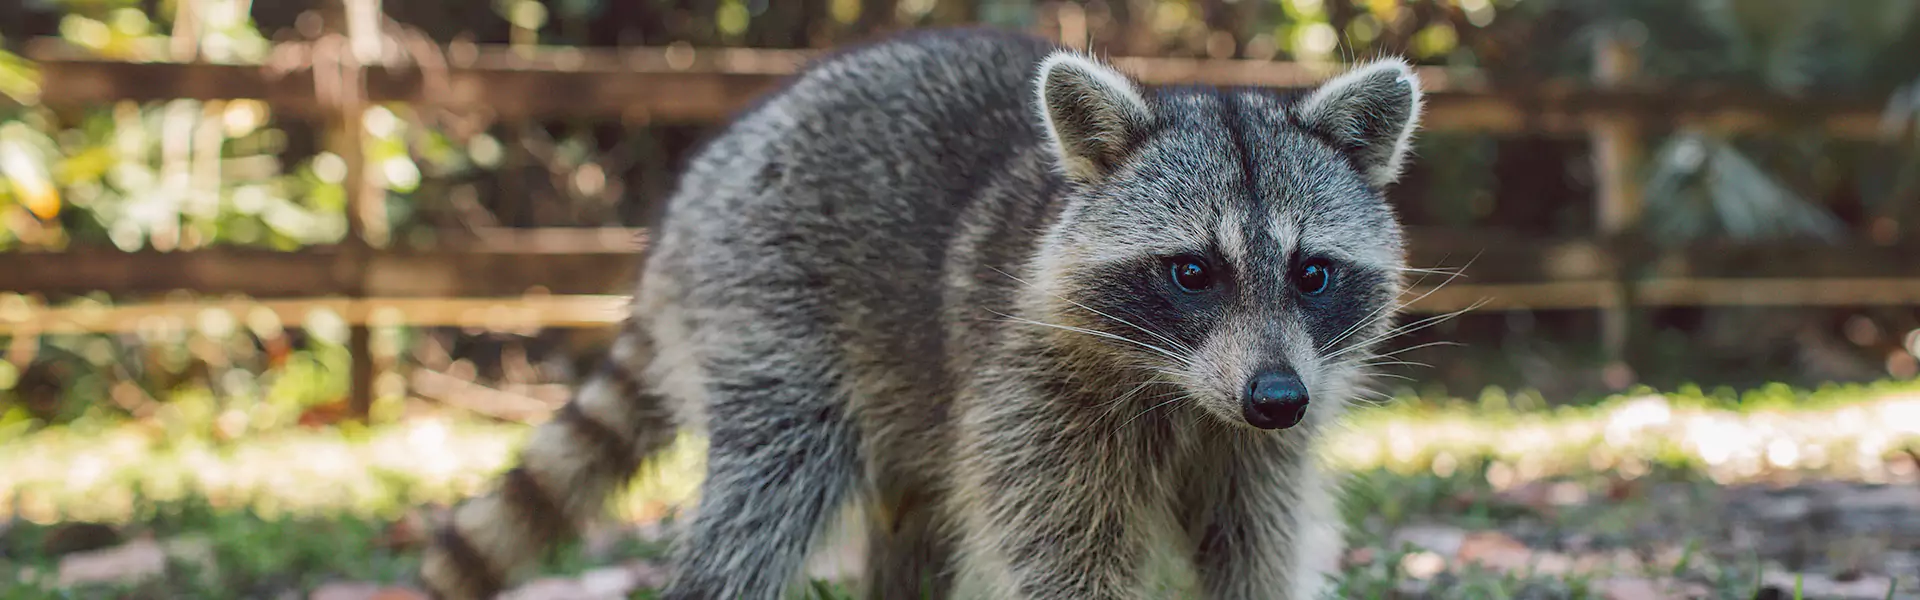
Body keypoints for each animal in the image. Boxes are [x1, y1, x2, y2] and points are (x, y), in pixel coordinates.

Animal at [420, 26, 1423, 600]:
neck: (1183, 391)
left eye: (1312, 274)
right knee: (766, 493)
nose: (1276, 399)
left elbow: (1256, 548)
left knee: (911, 521)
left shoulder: (1261, 445)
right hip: (769, 299)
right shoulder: (1033, 398)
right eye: (1192, 272)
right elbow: (1064, 559)